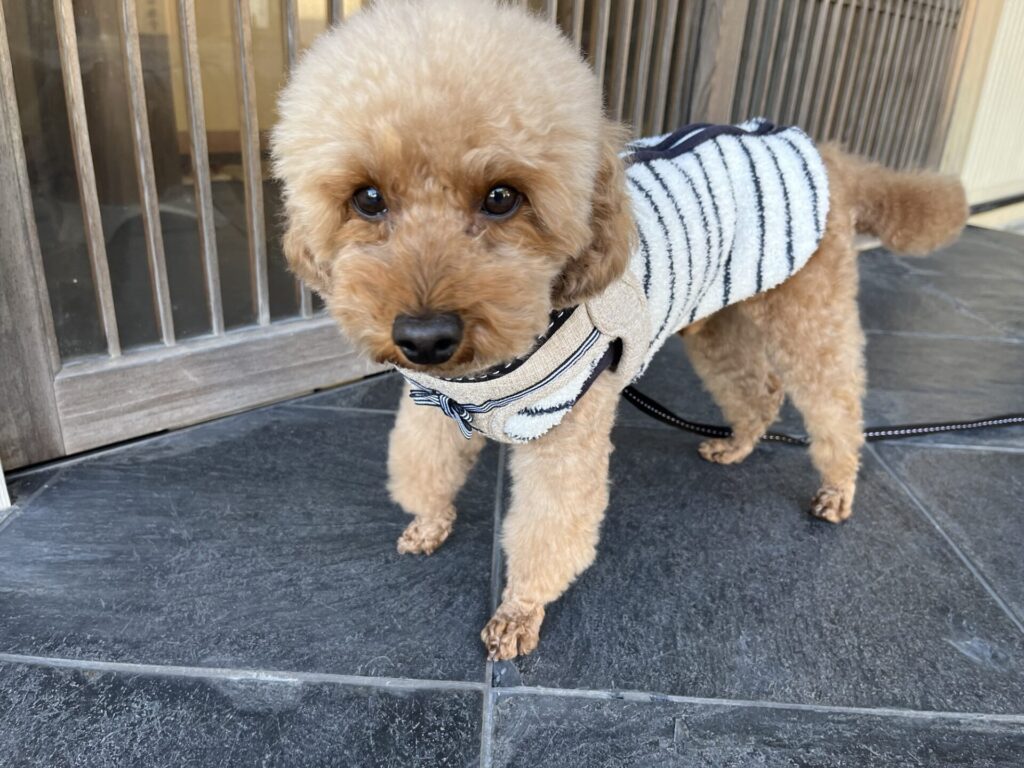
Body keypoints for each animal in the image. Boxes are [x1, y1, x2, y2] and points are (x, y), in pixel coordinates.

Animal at [272, 0, 968, 660]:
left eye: (502, 197)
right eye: (367, 199)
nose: (424, 336)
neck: (484, 375)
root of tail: (819, 150)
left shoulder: (564, 434)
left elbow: (550, 530)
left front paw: (518, 613)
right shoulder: (435, 404)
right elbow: (424, 467)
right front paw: (428, 525)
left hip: (809, 310)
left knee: (835, 402)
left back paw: (837, 486)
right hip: (717, 319)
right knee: (758, 386)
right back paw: (738, 445)